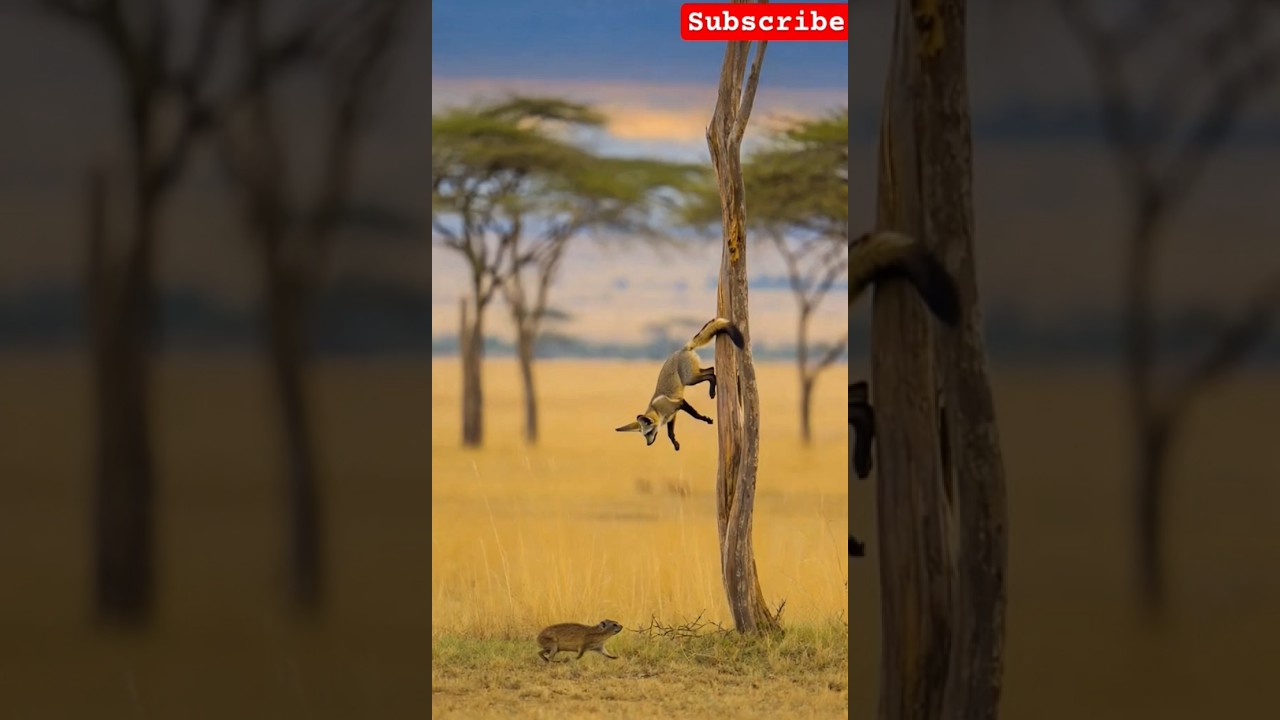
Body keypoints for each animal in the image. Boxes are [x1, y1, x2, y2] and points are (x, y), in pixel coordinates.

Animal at [615, 317, 745, 451]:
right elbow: (670, 433)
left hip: (690, 379)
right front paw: (675, 444)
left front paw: (706, 419)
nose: (648, 444)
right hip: (693, 374)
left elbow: (695, 415)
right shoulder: (673, 414)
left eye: (649, 433)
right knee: (711, 370)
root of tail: (682, 349)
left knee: (711, 375)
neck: (658, 410)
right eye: (644, 436)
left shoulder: (679, 403)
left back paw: (712, 392)